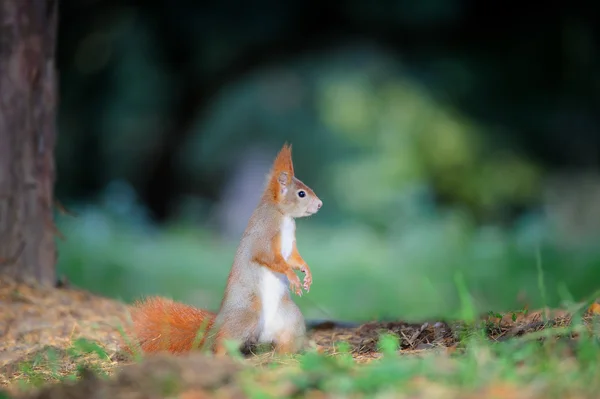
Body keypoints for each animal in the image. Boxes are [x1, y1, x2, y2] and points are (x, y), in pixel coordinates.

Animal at [127, 144, 324, 356]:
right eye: (301, 193)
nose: (320, 204)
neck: (282, 215)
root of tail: (218, 325)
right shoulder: (263, 235)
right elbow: (268, 257)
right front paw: (292, 276)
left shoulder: (291, 245)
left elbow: (295, 258)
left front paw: (306, 272)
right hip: (246, 317)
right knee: (223, 344)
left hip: (290, 320)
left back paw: (290, 354)